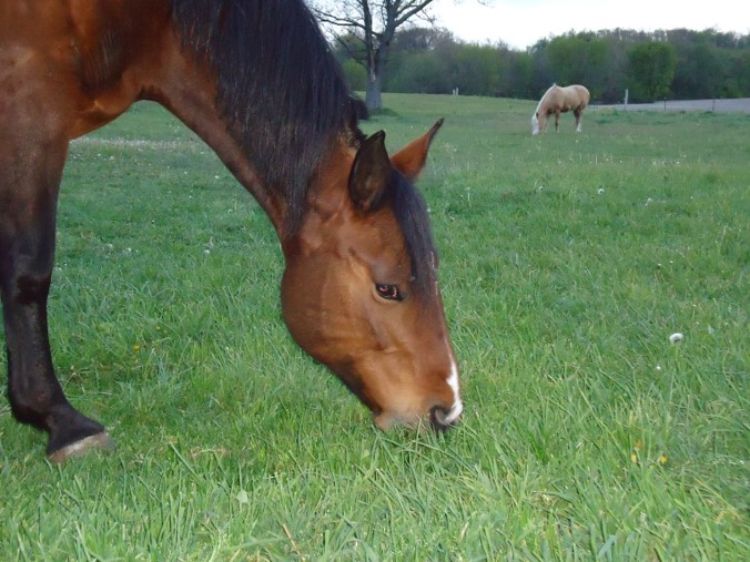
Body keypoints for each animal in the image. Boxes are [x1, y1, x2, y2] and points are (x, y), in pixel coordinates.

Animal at [0, 0, 463, 462]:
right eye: (387, 289)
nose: (446, 412)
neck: (144, 21)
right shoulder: (31, 120)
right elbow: (29, 271)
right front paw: (62, 422)